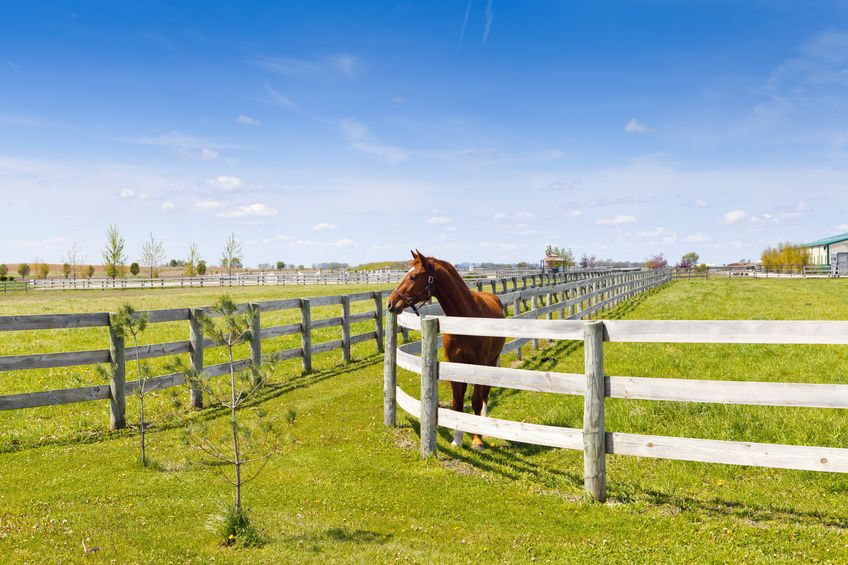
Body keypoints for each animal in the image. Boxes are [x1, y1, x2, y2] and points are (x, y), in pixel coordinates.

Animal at [387, 250, 506, 450]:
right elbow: (457, 402)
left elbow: (475, 401)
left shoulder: (479, 364)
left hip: (490, 362)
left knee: (484, 395)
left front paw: (477, 440)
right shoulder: (453, 364)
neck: (466, 318)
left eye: (413, 276)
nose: (390, 303)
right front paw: (457, 438)